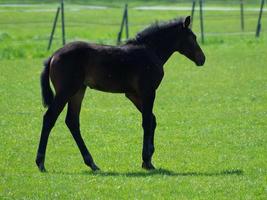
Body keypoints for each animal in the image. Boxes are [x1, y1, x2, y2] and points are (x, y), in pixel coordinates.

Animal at [35, 16, 206, 172]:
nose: (202, 59)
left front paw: (148, 158)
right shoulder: (148, 91)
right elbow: (147, 122)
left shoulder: (133, 94)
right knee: (50, 118)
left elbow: (152, 119)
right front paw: (147, 161)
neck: (150, 51)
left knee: (72, 121)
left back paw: (92, 163)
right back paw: (41, 163)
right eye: (193, 37)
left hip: (78, 91)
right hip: (66, 91)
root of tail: (53, 56)